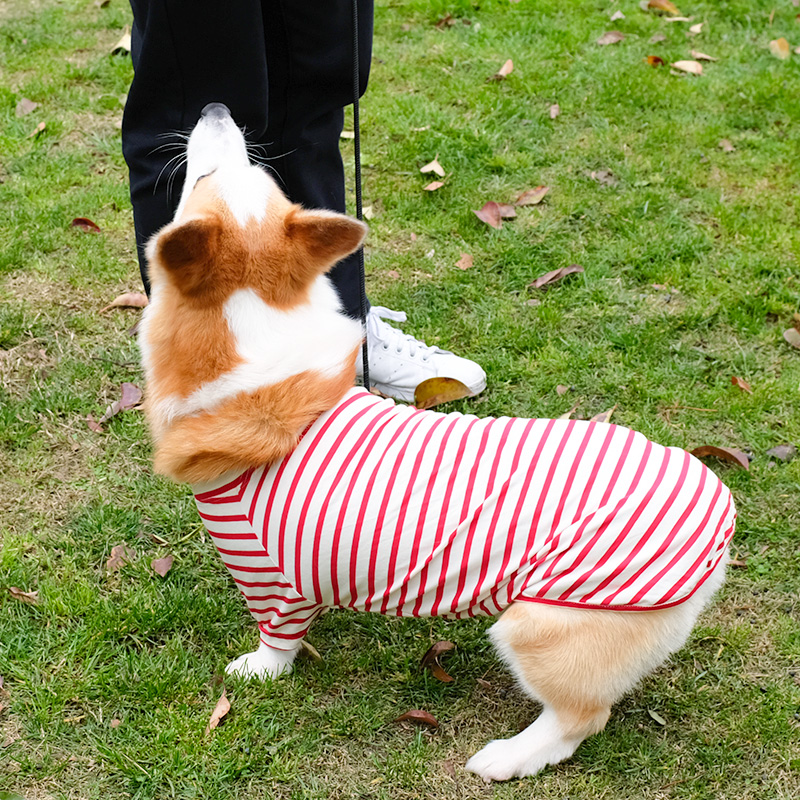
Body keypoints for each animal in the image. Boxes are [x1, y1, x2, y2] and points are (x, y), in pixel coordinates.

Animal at [136, 104, 732, 780]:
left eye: (200, 179)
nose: (217, 110)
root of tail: (719, 511)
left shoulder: (265, 571)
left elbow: (276, 638)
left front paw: (257, 672)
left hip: (538, 628)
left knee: (581, 717)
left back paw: (507, 758)